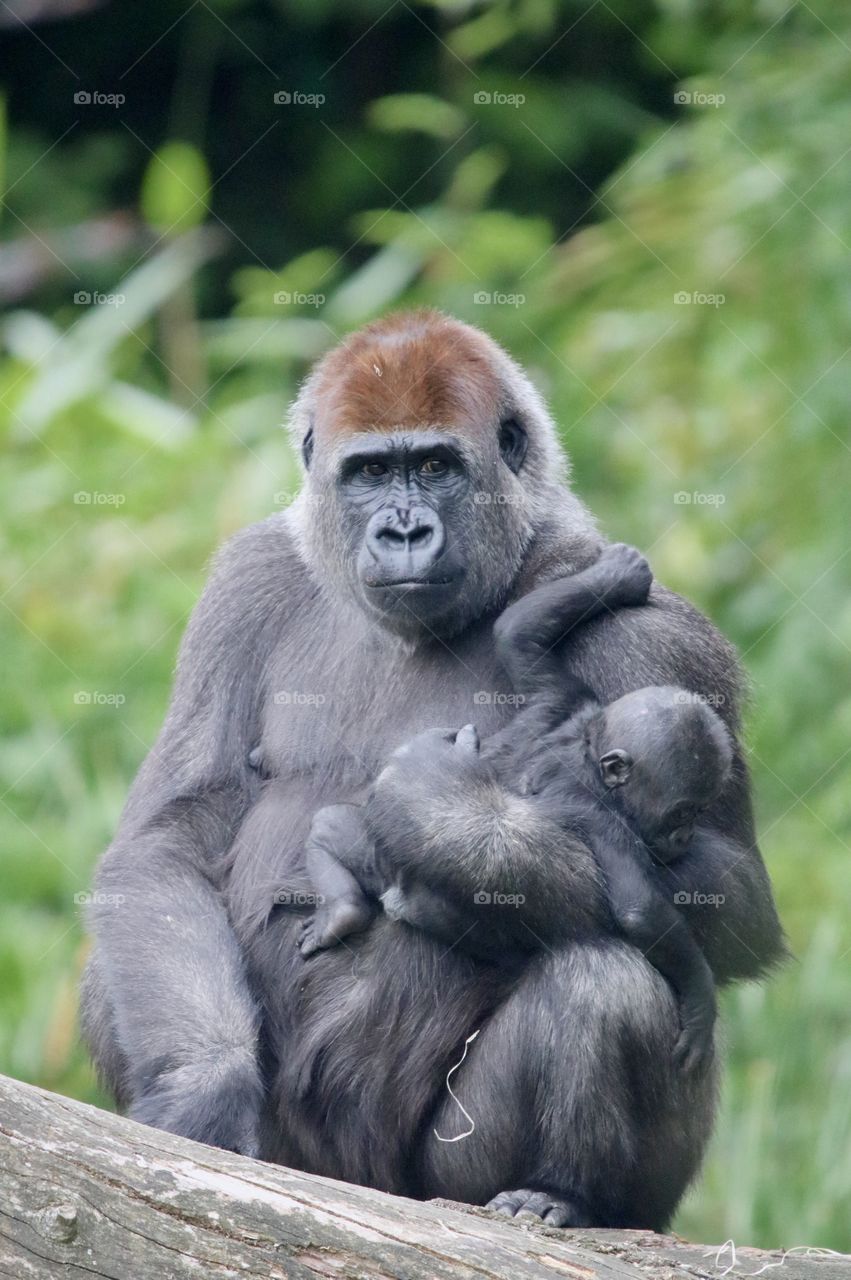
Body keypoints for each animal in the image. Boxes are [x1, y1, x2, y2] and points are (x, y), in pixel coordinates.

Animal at [296, 542, 731, 1072]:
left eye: (698, 812)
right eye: (684, 812)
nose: (684, 836)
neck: (589, 754)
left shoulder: (563, 700)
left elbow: (518, 633)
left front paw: (614, 577)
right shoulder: (608, 823)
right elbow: (639, 910)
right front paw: (700, 1002)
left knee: (331, 828)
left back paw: (341, 909)